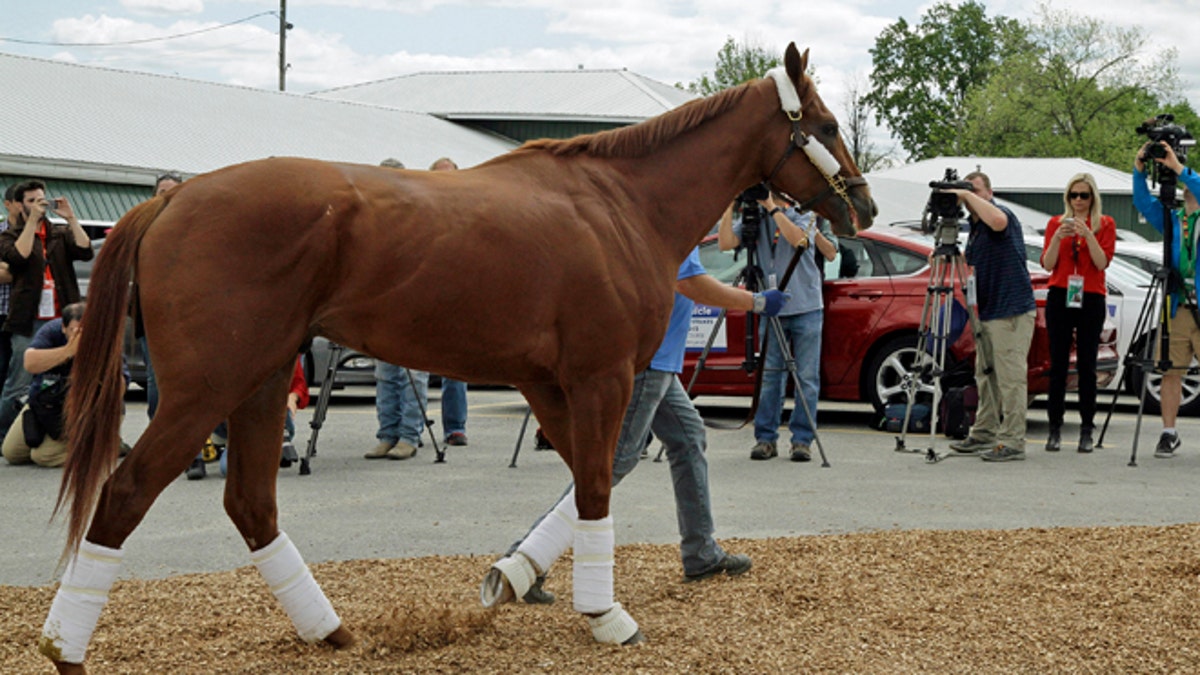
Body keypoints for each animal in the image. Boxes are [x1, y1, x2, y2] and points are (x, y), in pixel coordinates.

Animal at [41, 42, 874, 673]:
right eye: (827, 121)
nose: (862, 205)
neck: (621, 206)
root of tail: (172, 199)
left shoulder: (549, 383)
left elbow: (589, 483)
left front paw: (517, 576)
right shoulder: (600, 378)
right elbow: (597, 485)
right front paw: (604, 612)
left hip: (261, 379)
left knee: (251, 503)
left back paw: (330, 629)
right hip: (204, 386)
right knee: (125, 494)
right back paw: (65, 647)